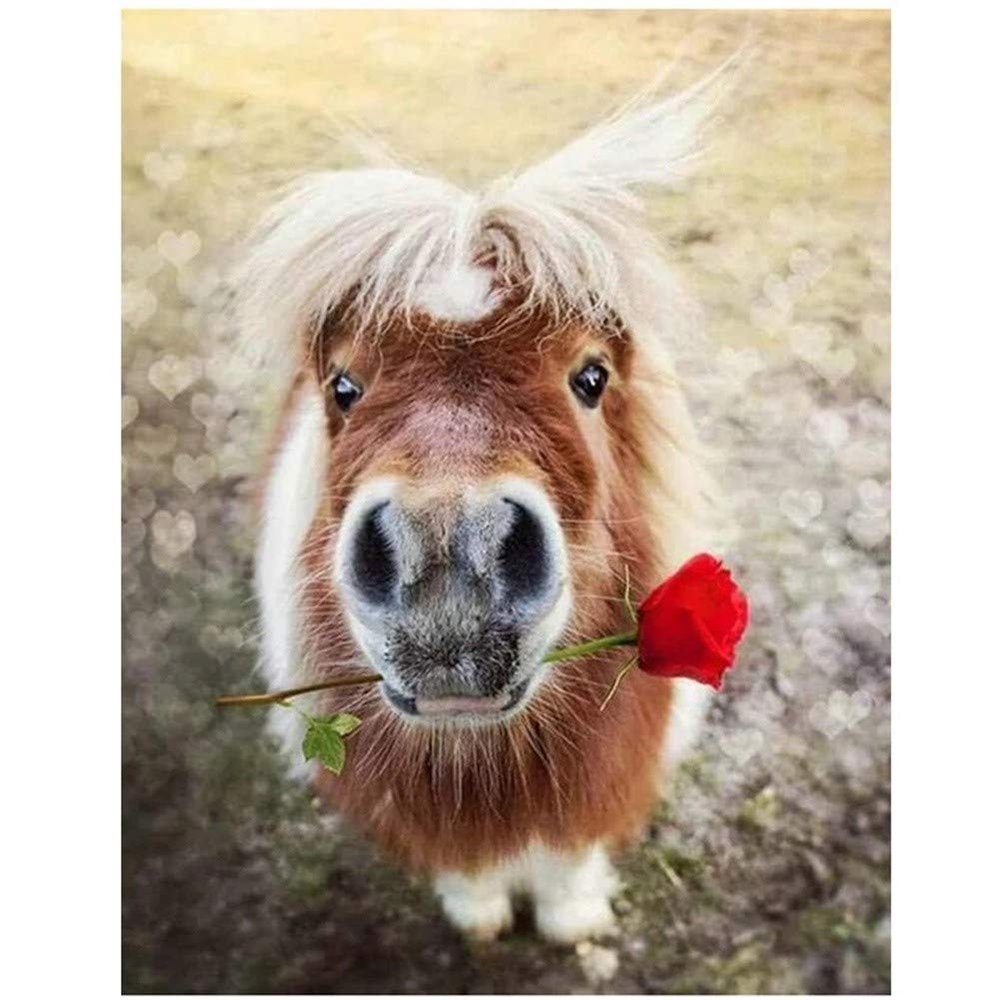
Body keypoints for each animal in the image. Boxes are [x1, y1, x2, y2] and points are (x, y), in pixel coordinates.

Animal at [238, 62, 734, 944]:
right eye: (343, 386)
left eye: (591, 376)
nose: (444, 556)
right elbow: (468, 868)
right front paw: (480, 917)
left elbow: (570, 860)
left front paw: (573, 919)